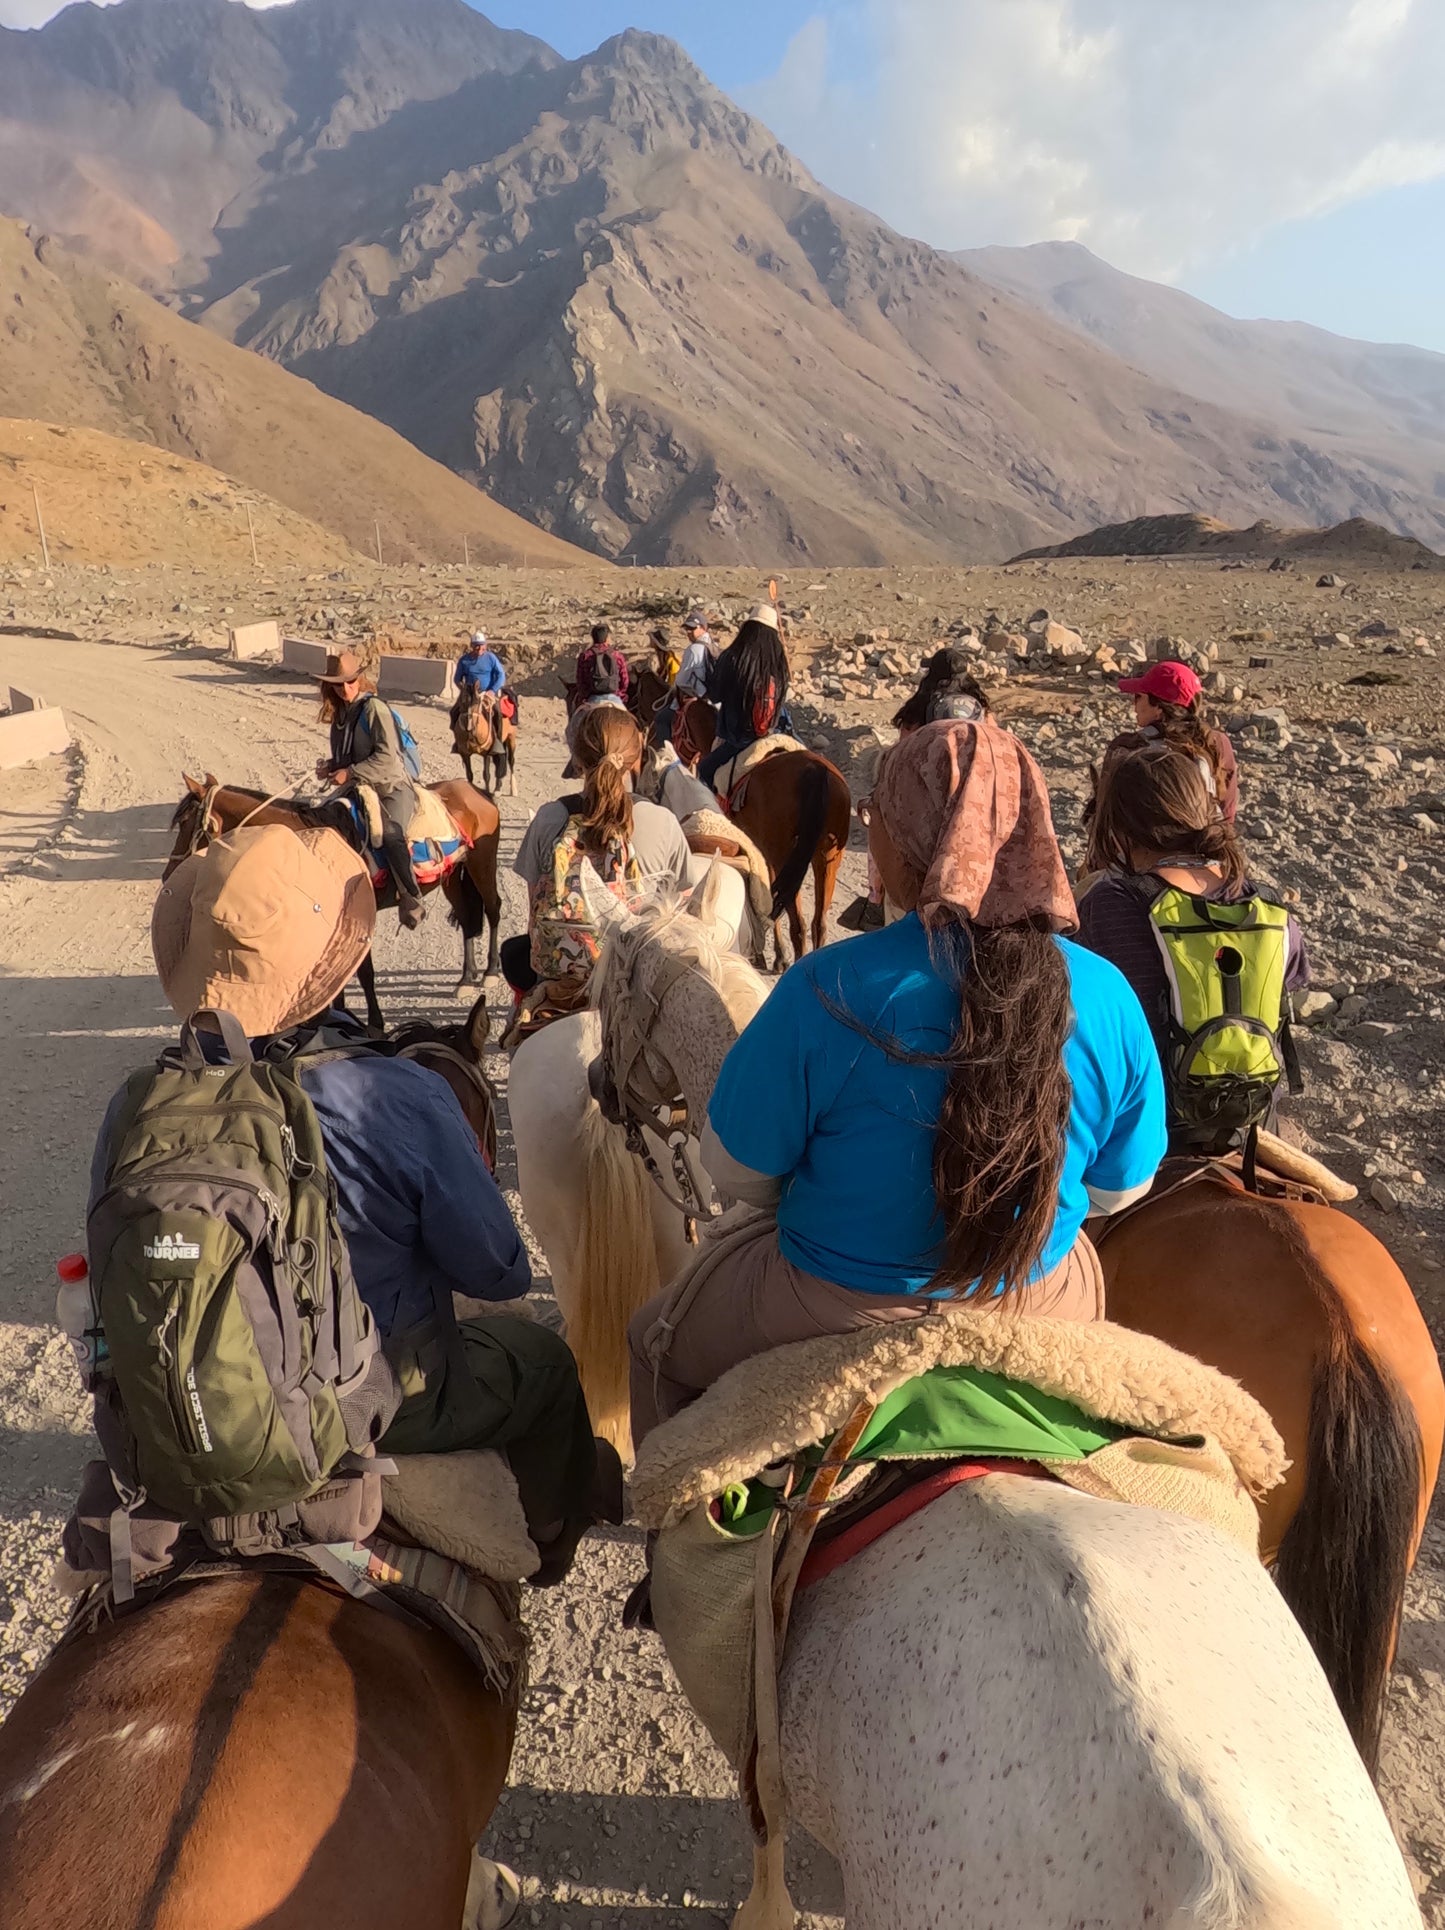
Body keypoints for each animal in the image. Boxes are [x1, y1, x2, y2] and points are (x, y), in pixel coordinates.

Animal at [169, 772, 501, 1034]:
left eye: (185, 822)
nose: (171, 871)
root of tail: (475, 791)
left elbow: (363, 972)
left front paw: (374, 1023)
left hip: (482, 864)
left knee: (493, 909)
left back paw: (490, 973)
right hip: (453, 875)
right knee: (467, 918)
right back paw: (466, 978)